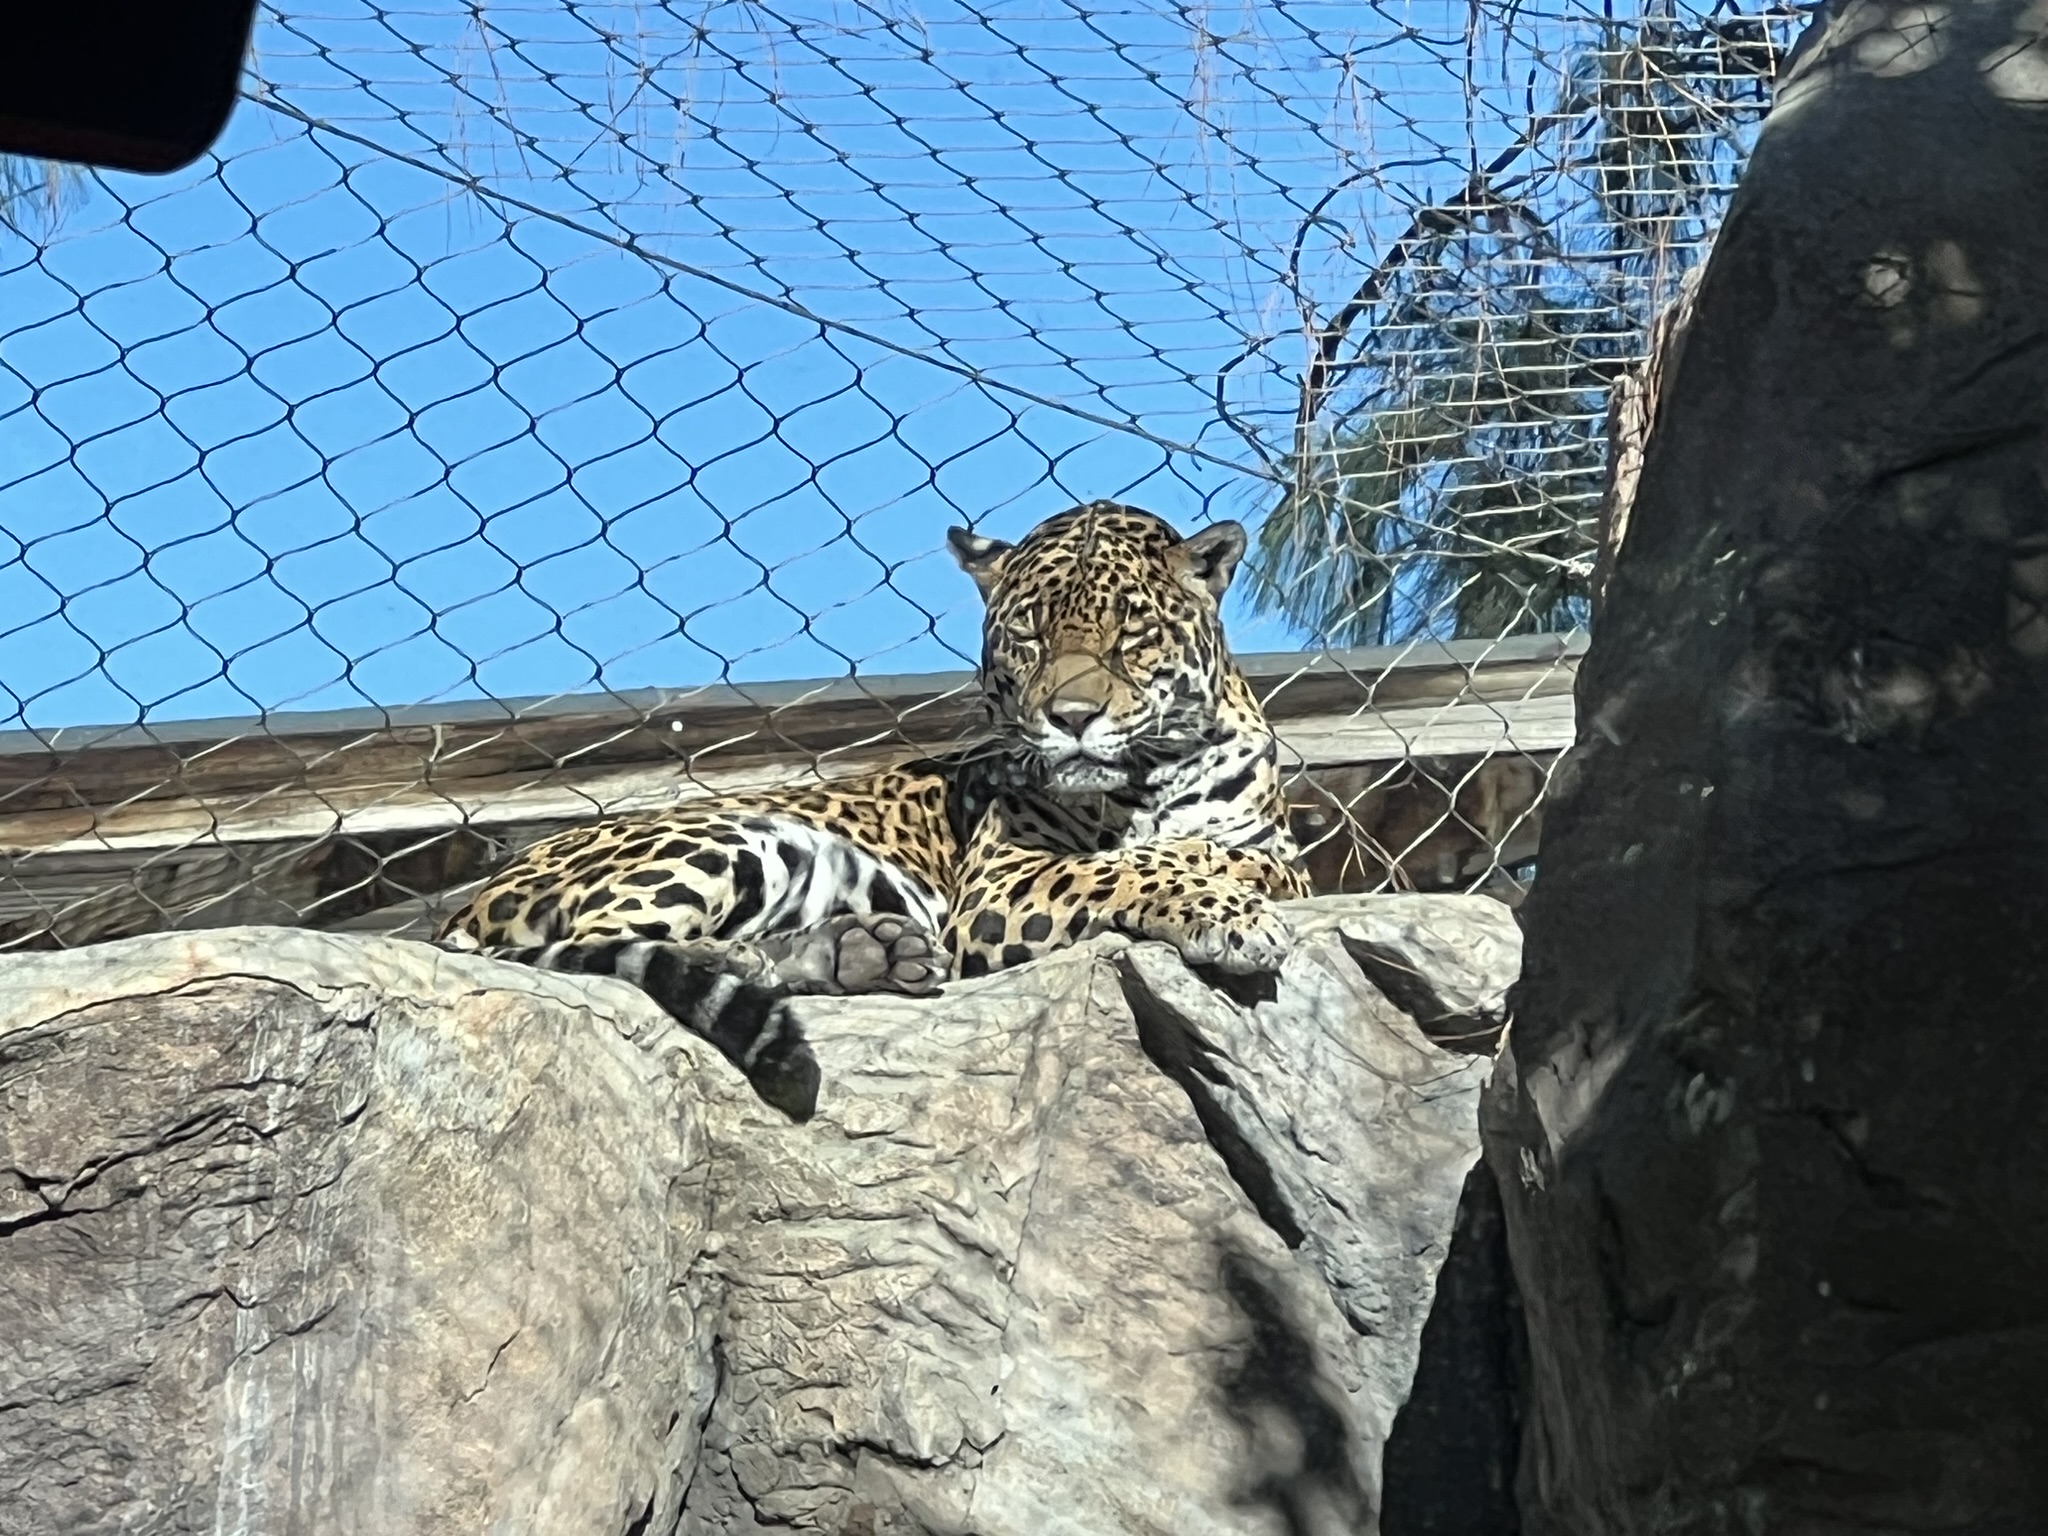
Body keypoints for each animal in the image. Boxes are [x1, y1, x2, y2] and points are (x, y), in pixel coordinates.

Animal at [437, 500, 1309, 1122]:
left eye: (1133, 633)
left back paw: (865, 952)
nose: (1070, 717)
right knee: (595, 949)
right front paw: (1228, 911)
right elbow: (1126, 867)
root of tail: (469, 909)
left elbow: (1216, 854)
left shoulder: (1271, 847)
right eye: (1027, 636)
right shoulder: (999, 884)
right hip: (721, 838)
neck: (1149, 779)